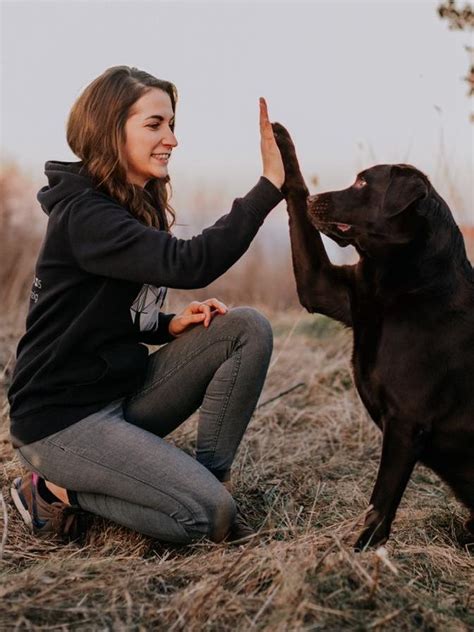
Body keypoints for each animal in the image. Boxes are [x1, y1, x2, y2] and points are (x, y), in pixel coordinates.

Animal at [272, 122, 474, 548]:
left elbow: (381, 501)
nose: (316, 198)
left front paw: (357, 551)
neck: (403, 285)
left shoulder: (406, 423)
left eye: (363, 182)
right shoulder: (325, 288)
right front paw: (278, 139)